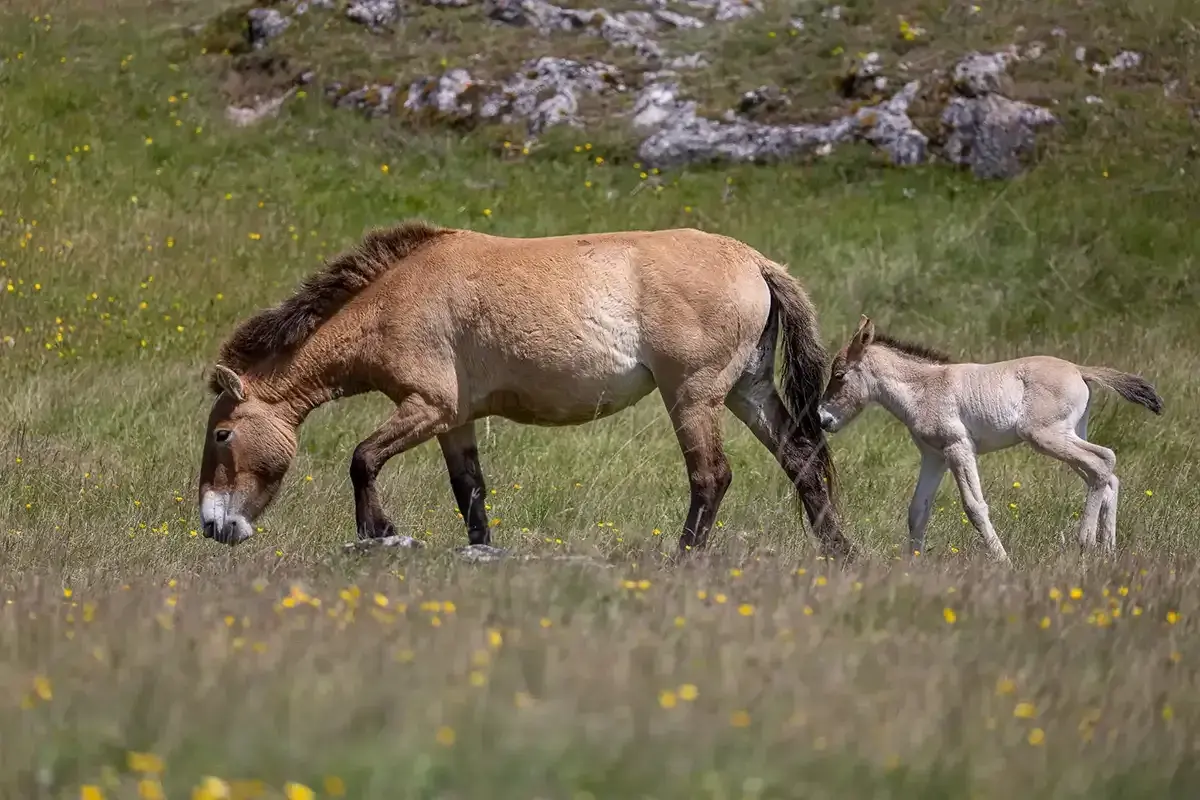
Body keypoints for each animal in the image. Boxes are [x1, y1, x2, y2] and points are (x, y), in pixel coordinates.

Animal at [197, 219, 854, 559]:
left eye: (222, 433)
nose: (212, 526)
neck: (394, 299)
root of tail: (756, 262)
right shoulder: (452, 420)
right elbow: (470, 493)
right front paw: (479, 552)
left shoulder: (426, 407)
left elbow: (361, 459)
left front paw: (378, 532)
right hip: (746, 391)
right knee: (800, 460)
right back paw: (840, 552)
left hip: (693, 396)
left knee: (712, 477)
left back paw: (683, 560)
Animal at [817, 315, 1163, 563]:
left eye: (839, 376)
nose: (822, 419)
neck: (924, 387)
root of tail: (1080, 369)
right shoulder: (934, 456)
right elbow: (917, 511)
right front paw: (912, 566)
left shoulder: (958, 448)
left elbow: (974, 507)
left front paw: (1003, 561)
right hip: (1070, 435)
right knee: (1106, 475)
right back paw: (1107, 552)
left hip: (1047, 436)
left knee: (1103, 460)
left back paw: (1086, 544)